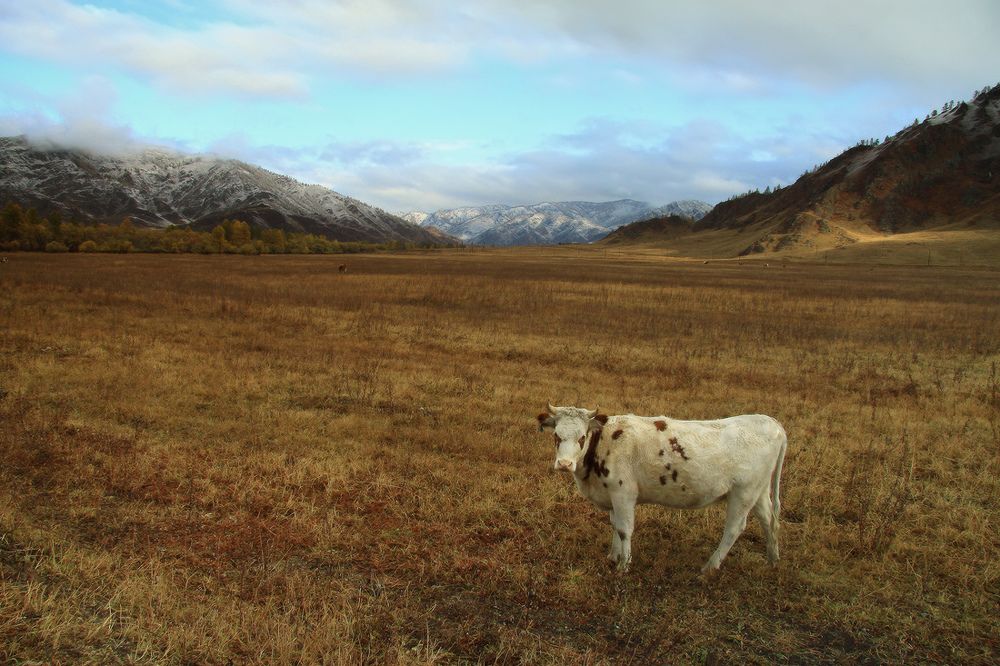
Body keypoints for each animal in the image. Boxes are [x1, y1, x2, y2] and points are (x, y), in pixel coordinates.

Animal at [537, 403, 787, 573]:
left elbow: (624, 529)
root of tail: (772, 423)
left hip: (743, 493)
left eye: (582, 437)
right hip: (758, 491)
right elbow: (615, 526)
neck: (606, 441)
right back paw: (773, 559)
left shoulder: (623, 493)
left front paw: (624, 565)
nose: (564, 464)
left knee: (734, 528)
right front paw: (613, 556)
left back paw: (709, 567)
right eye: (557, 436)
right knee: (768, 520)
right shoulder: (611, 496)